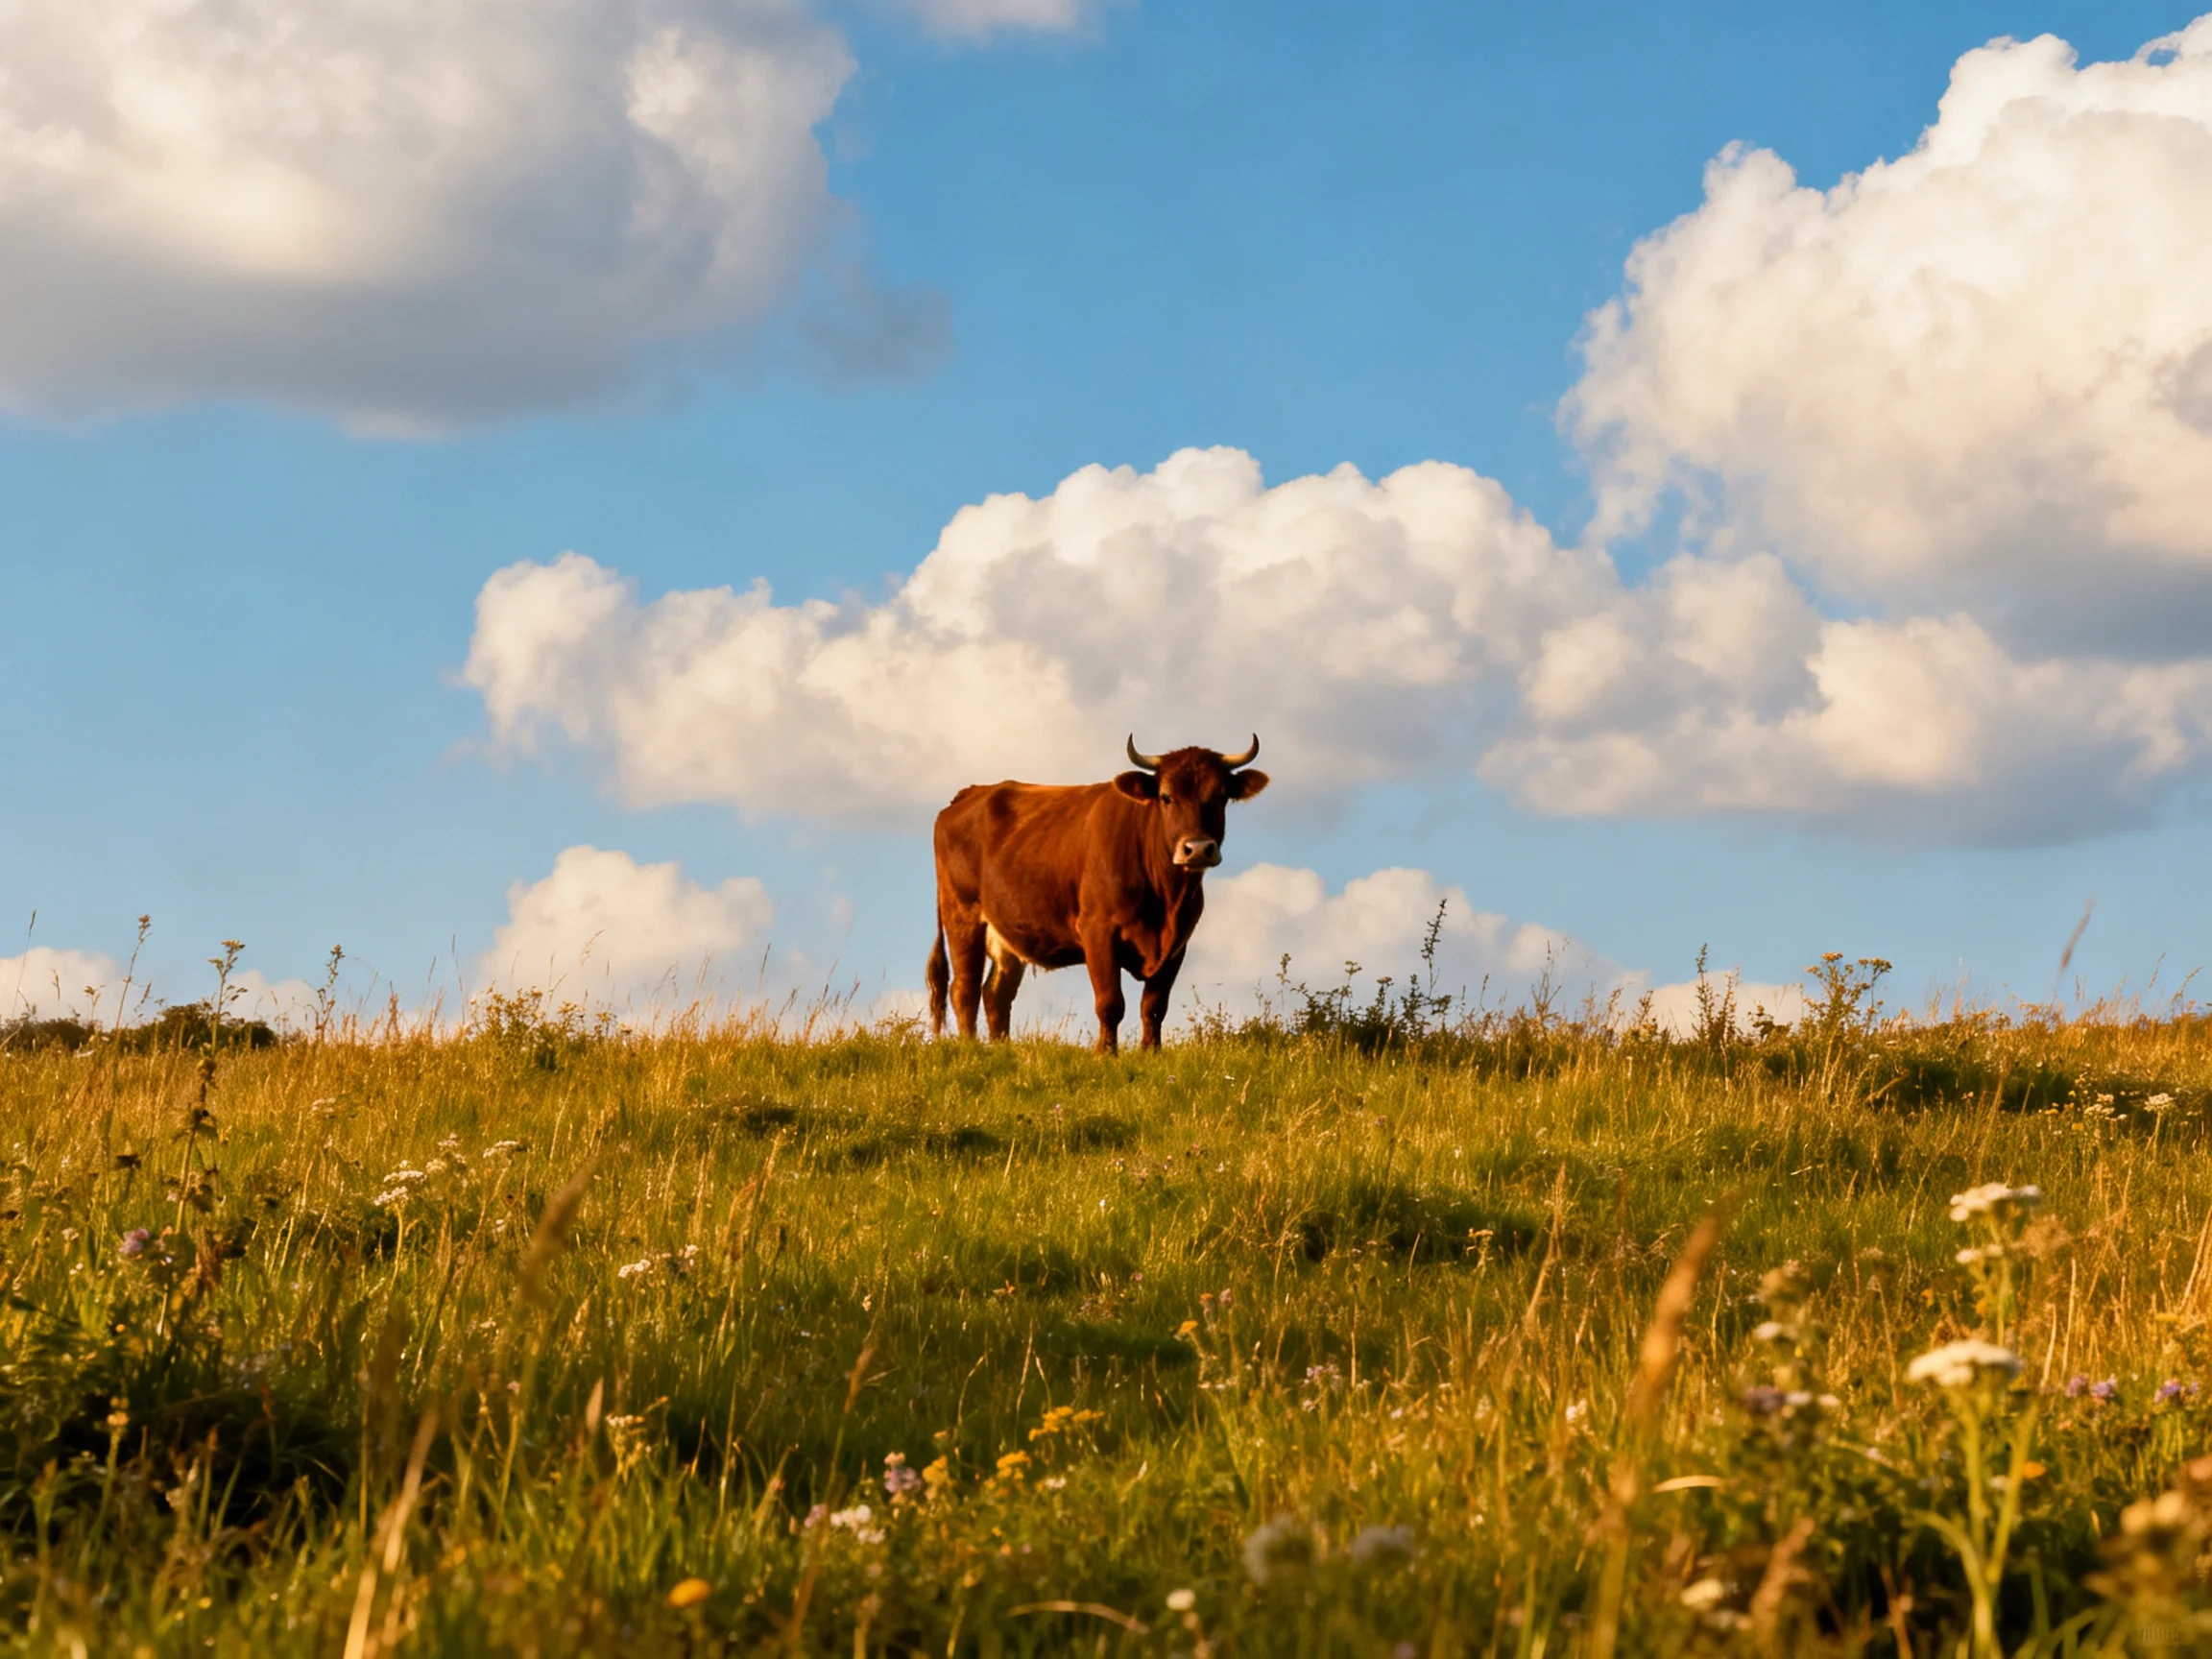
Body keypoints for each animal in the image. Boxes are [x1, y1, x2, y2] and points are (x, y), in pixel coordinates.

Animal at [926, 736, 1271, 1053]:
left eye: (1221, 797)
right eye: (1166, 797)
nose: (1197, 849)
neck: (1166, 902)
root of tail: (971, 793)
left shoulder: (1178, 945)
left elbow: (1154, 1007)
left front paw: (1151, 1053)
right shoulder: (1098, 931)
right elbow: (1110, 1002)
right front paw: (1106, 1053)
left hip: (1007, 933)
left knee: (996, 994)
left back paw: (1001, 1049)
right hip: (962, 914)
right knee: (964, 988)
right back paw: (970, 1047)